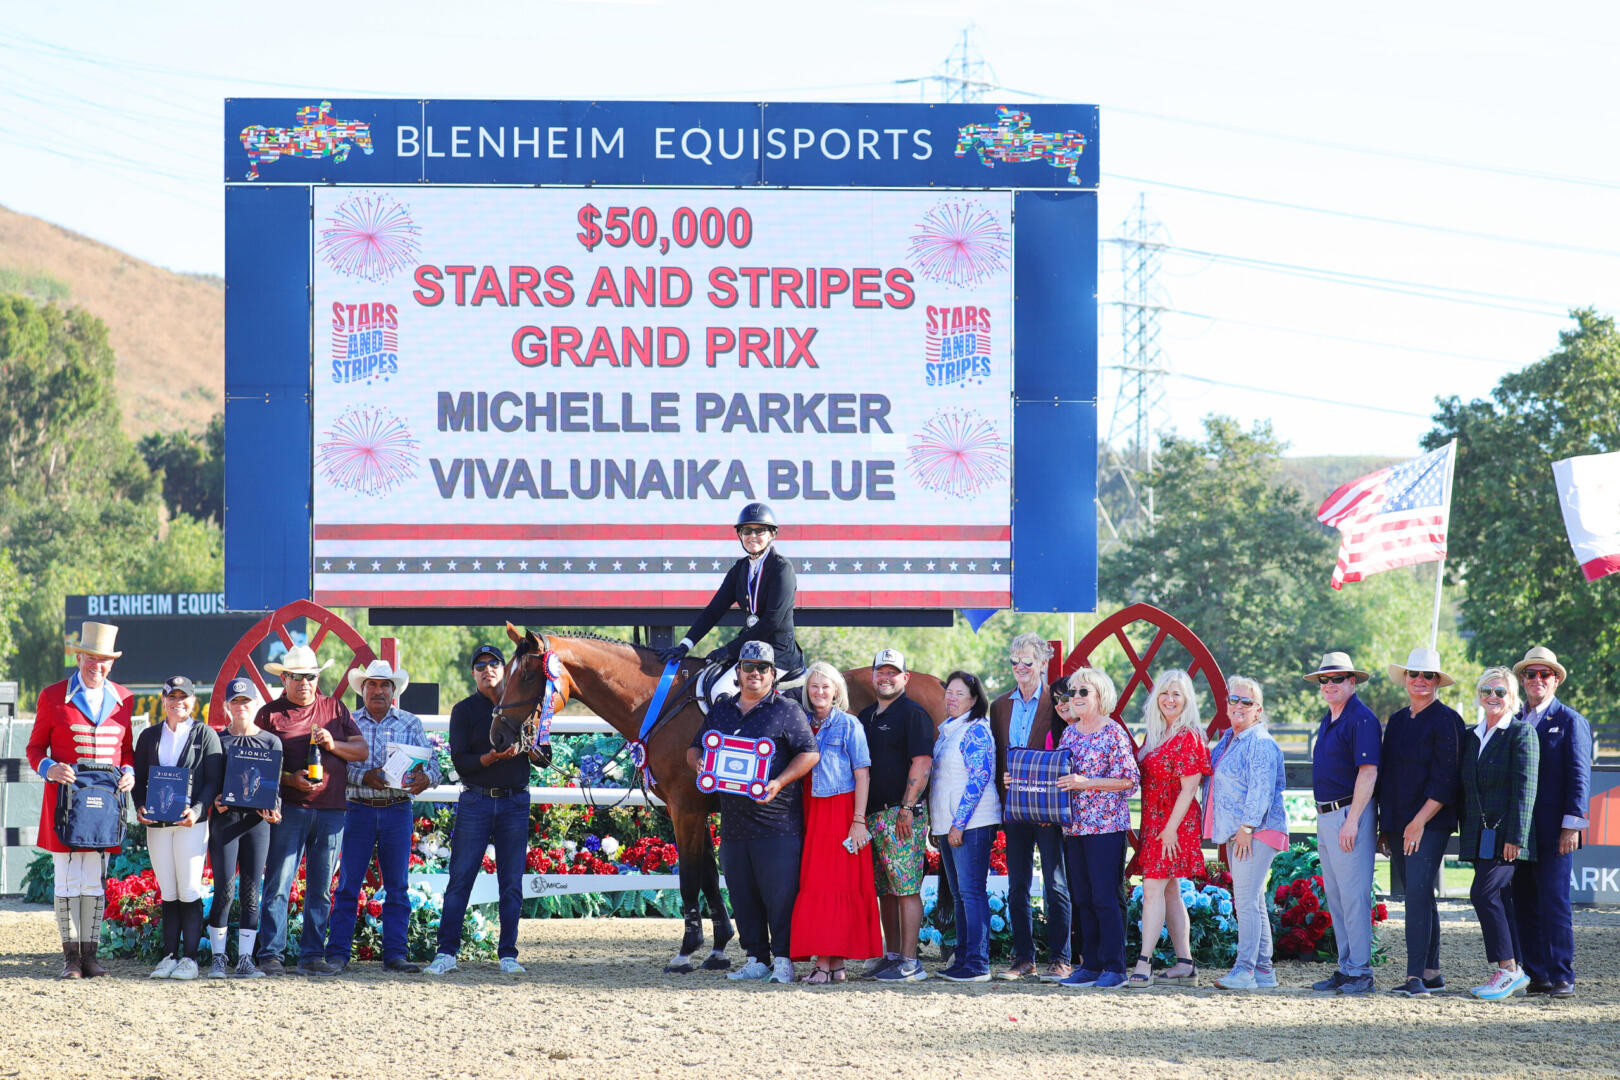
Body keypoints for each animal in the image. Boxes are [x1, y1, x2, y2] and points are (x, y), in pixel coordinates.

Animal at [492, 625, 946, 971]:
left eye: (527, 677)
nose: (498, 738)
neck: (659, 703)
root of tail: (939, 684)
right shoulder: (697, 807)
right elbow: (710, 874)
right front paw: (720, 947)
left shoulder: (685, 808)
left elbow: (691, 876)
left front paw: (687, 950)